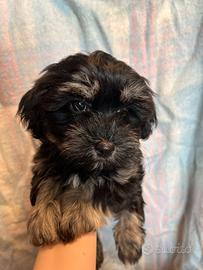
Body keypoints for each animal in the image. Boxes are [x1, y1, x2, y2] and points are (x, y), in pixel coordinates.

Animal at [17, 50, 157, 268]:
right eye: (79, 105)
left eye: (123, 112)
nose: (105, 148)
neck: (84, 166)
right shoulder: (46, 162)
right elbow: (47, 183)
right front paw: (44, 217)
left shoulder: (129, 172)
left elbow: (109, 192)